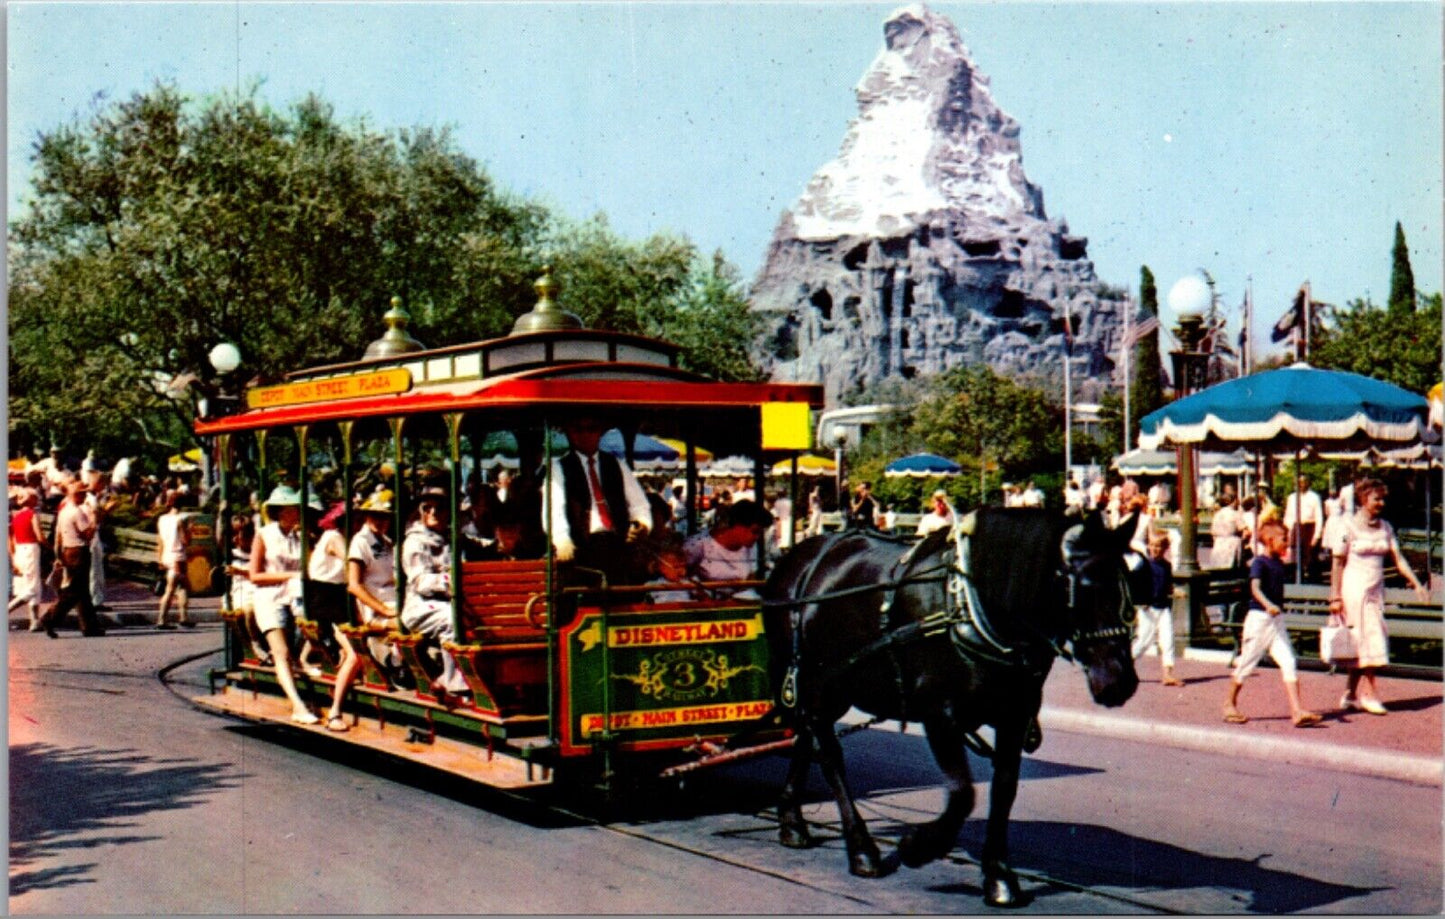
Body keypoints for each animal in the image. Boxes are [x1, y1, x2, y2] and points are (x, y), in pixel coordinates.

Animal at [762, 505, 1144, 907]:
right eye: (1085, 587)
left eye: (1128, 584)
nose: (1120, 681)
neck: (970, 608)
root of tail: (799, 555)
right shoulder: (939, 715)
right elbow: (963, 794)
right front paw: (917, 847)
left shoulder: (1014, 716)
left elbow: (1003, 790)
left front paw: (998, 875)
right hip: (815, 682)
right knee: (829, 753)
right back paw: (862, 848)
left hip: (829, 688)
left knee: (807, 737)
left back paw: (792, 820)